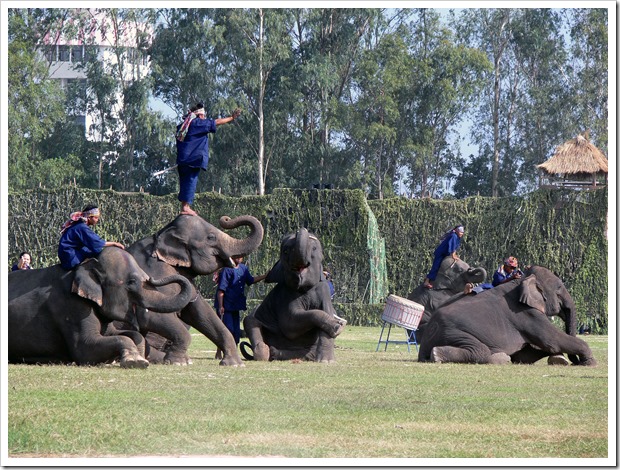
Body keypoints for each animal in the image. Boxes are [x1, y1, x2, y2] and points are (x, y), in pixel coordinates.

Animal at [8, 246, 193, 368]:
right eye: (131, 282)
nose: (153, 278)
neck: (86, 265)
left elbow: (127, 334)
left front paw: (136, 357)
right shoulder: (72, 307)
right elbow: (84, 349)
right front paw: (136, 362)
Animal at [124, 214, 262, 368]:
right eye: (211, 237)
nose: (225, 219)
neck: (161, 234)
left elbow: (201, 312)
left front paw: (234, 364)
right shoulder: (155, 273)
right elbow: (150, 315)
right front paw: (178, 362)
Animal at [242, 228, 348, 364]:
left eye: (314, 249)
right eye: (285, 251)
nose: (300, 230)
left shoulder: (324, 290)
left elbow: (327, 312)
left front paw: (326, 361)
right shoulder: (285, 296)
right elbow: (290, 324)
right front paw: (338, 326)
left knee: (308, 353)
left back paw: (275, 353)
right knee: (249, 321)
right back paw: (265, 352)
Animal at [418, 266, 600, 366]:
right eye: (559, 288)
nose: (576, 361)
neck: (521, 281)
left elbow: (524, 355)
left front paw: (559, 360)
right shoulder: (525, 314)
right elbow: (552, 340)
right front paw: (590, 362)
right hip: (452, 331)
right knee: (480, 351)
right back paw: (437, 355)